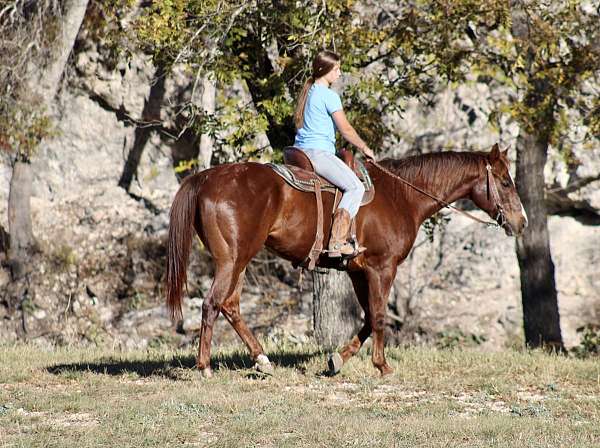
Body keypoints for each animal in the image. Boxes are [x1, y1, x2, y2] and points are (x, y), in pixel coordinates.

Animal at [164, 145, 524, 376]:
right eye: (506, 182)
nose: (521, 223)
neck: (402, 196)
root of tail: (206, 179)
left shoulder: (357, 271)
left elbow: (366, 317)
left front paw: (338, 360)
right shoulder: (383, 268)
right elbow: (378, 315)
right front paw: (382, 365)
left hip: (239, 259)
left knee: (230, 305)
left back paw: (262, 359)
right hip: (233, 258)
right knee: (212, 304)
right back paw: (205, 367)